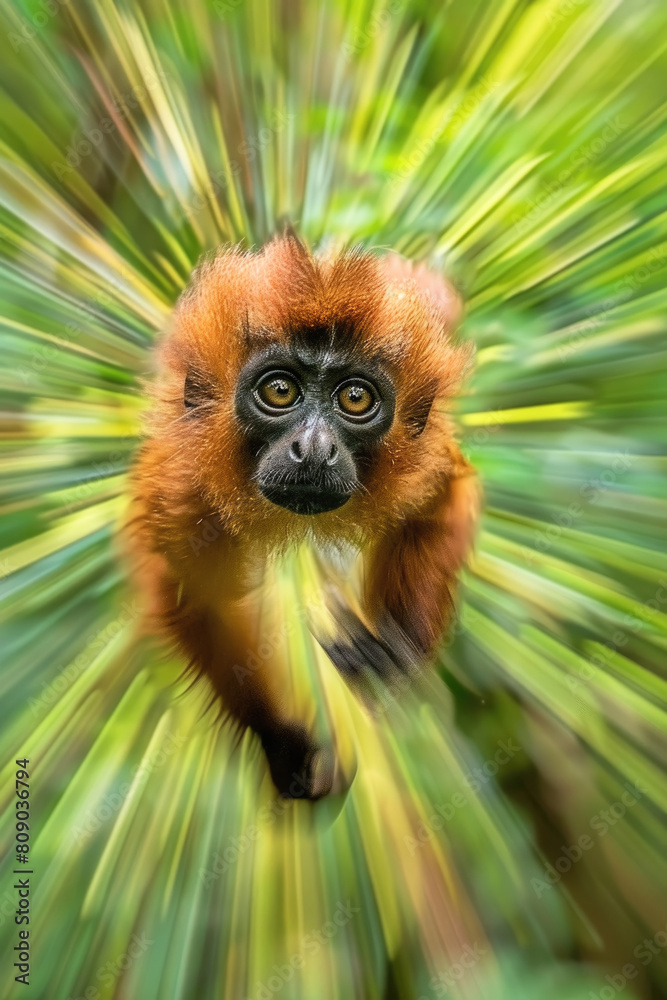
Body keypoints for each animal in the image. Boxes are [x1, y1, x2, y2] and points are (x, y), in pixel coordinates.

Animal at [126, 231, 479, 800]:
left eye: (355, 398)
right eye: (280, 391)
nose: (313, 448)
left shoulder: (422, 468)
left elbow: (441, 506)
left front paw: (390, 655)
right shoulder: (182, 491)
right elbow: (199, 598)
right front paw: (283, 741)